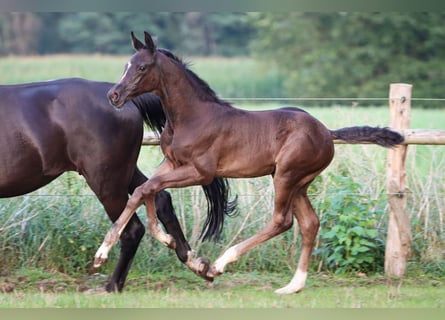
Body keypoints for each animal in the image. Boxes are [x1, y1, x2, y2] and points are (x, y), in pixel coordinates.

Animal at [0, 77, 234, 292]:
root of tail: (125, 100)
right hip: (125, 174)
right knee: (159, 198)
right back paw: (195, 263)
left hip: (107, 182)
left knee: (132, 229)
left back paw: (111, 285)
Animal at [95, 31, 404, 294]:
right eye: (126, 65)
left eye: (142, 67)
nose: (114, 95)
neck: (192, 116)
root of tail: (327, 133)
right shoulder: (171, 164)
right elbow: (146, 189)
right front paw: (165, 239)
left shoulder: (201, 173)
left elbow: (149, 188)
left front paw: (103, 252)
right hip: (299, 183)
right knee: (309, 223)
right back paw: (294, 285)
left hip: (286, 176)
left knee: (282, 221)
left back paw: (220, 264)